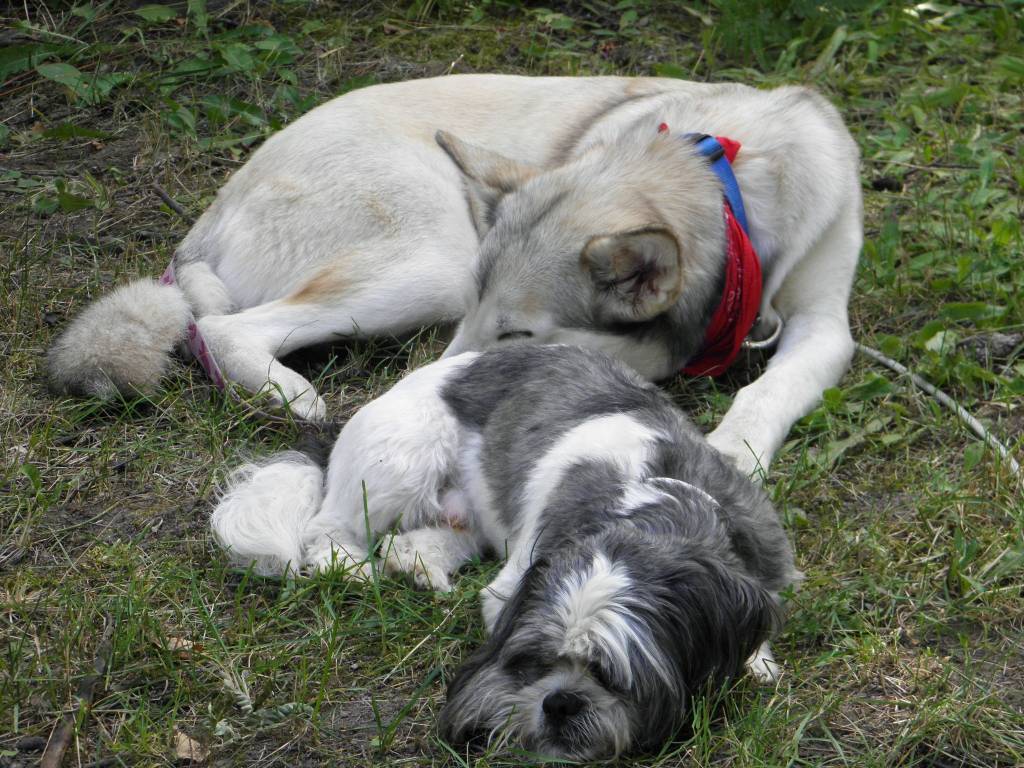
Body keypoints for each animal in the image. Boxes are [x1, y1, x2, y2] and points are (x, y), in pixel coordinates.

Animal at [48, 74, 861, 476]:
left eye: (519, 334)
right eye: (481, 315)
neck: (733, 186)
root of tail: (210, 218)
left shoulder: (825, 328)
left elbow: (767, 390)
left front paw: (731, 453)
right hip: (430, 265)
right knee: (221, 327)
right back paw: (290, 395)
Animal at [210, 344, 800, 759]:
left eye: (610, 676)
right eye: (537, 661)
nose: (561, 701)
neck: (651, 489)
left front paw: (757, 662)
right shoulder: (515, 585)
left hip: (464, 514)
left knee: (420, 538)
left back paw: (421, 566)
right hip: (402, 459)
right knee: (330, 525)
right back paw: (352, 566)